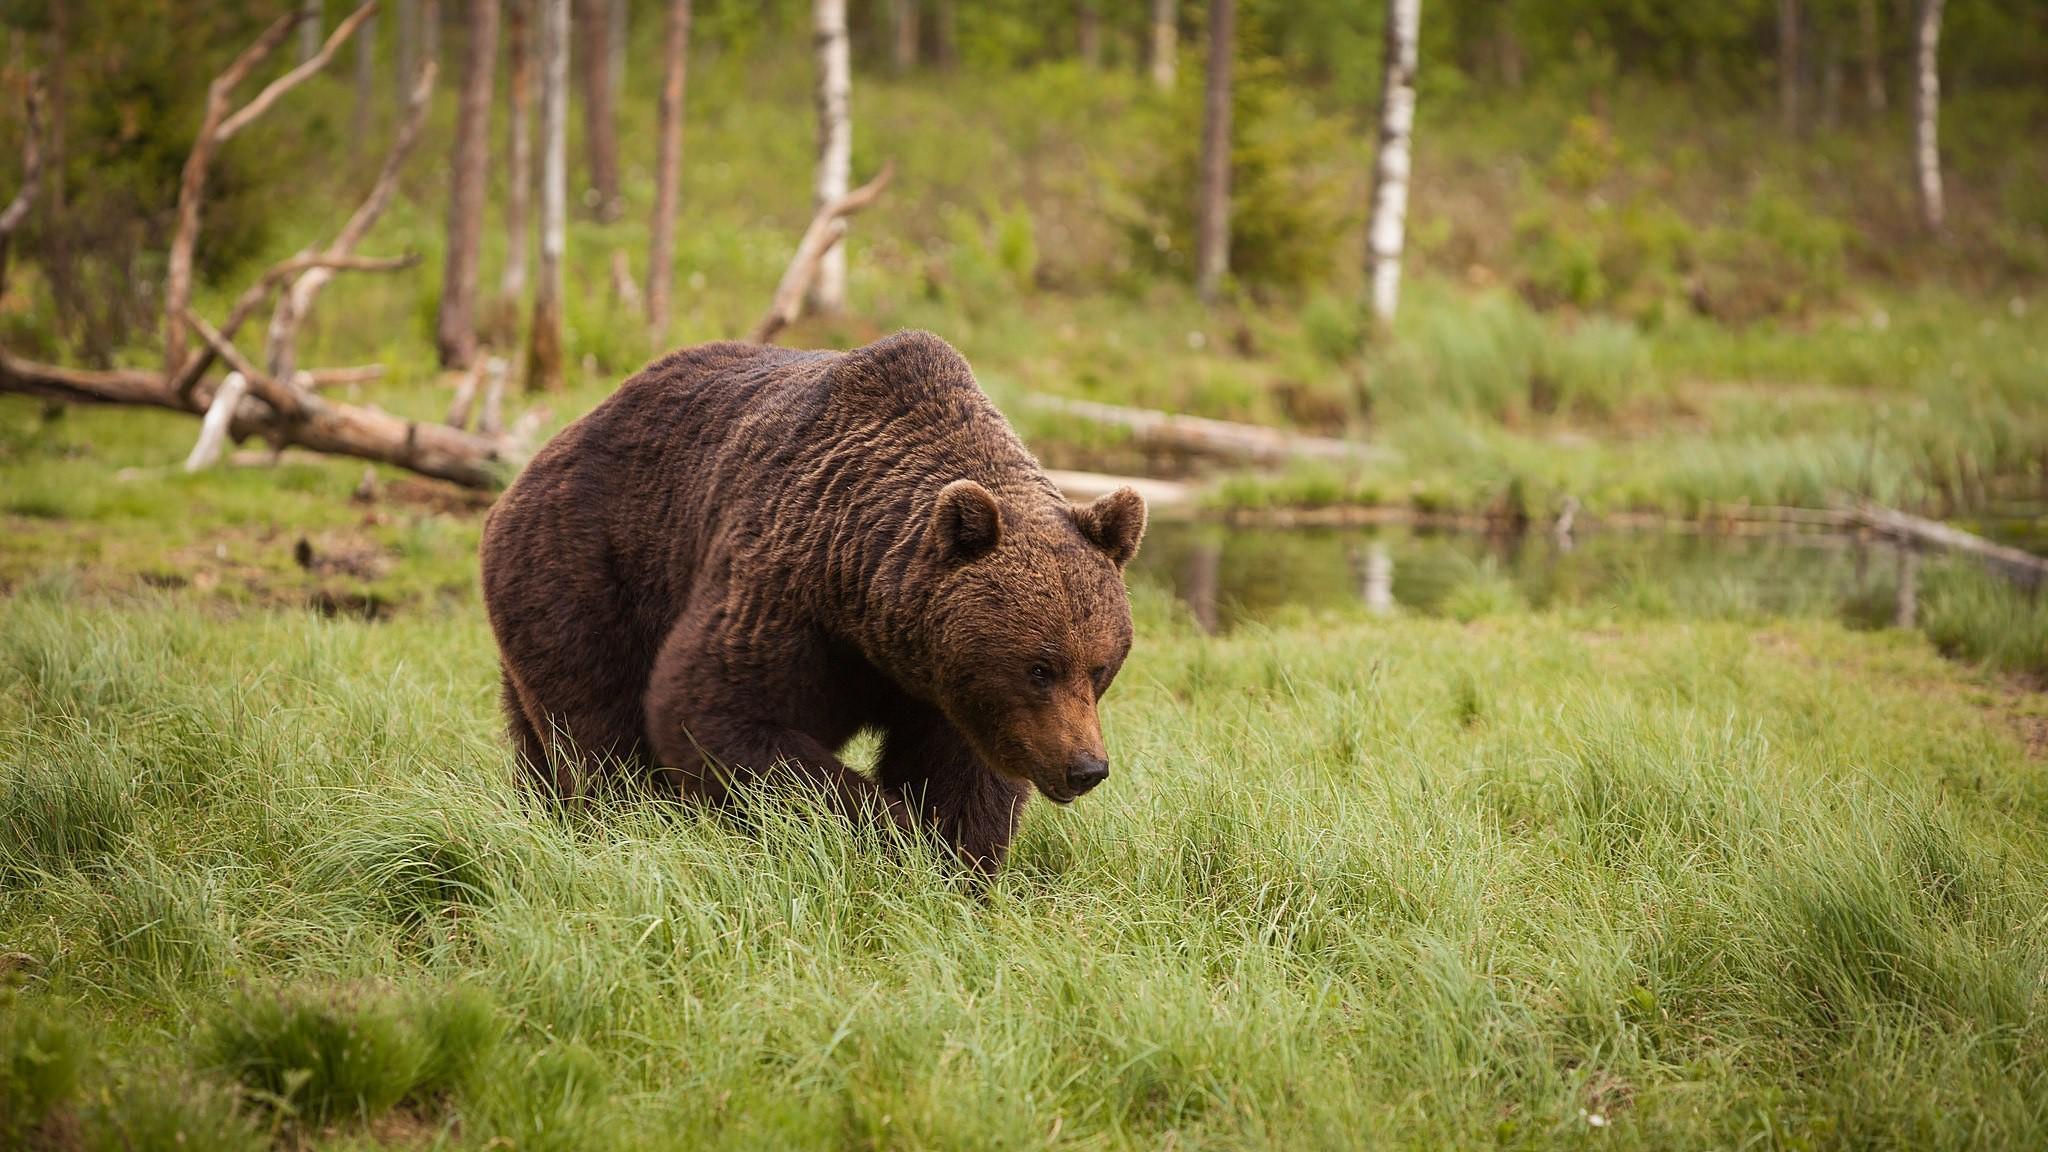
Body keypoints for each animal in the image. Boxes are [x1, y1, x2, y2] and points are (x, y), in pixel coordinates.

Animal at [481, 327, 1155, 865]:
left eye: (1100, 667)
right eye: (1039, 667)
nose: (1086, 768)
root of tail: (528, 469)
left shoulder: (946, 686)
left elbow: (964, 773)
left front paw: (960, 862)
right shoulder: (785, 593)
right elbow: (713, 710)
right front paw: (896, 830)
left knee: (535, 739)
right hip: (586, 571)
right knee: (597, 732)